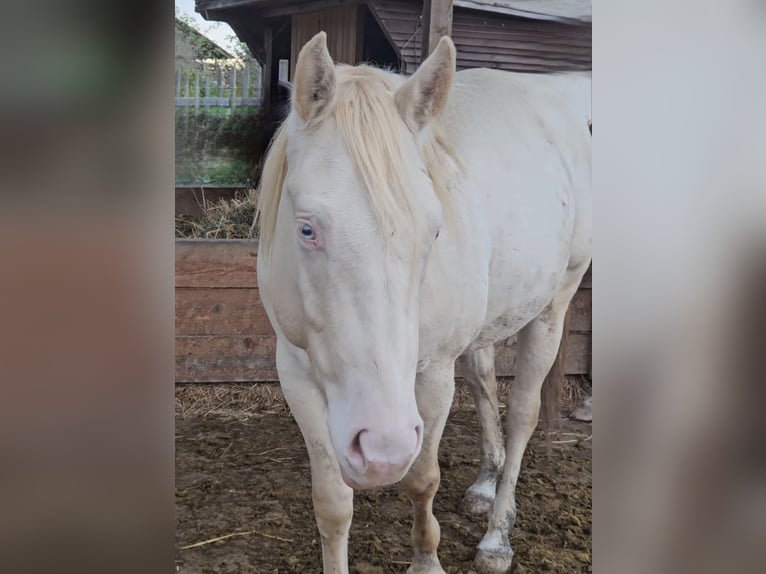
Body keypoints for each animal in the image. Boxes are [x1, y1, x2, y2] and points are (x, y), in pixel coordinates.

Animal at [258, 30, 592, 574]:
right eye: (306, 229)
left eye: (434, 230)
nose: (382, 448)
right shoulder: (297, 372)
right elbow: (332, 503)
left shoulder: (433, 372)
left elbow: (421, 478)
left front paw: (426, 559)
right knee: (483, 381)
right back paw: (485, 484)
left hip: (554, 303)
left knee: (522, 411)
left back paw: (497, 534)